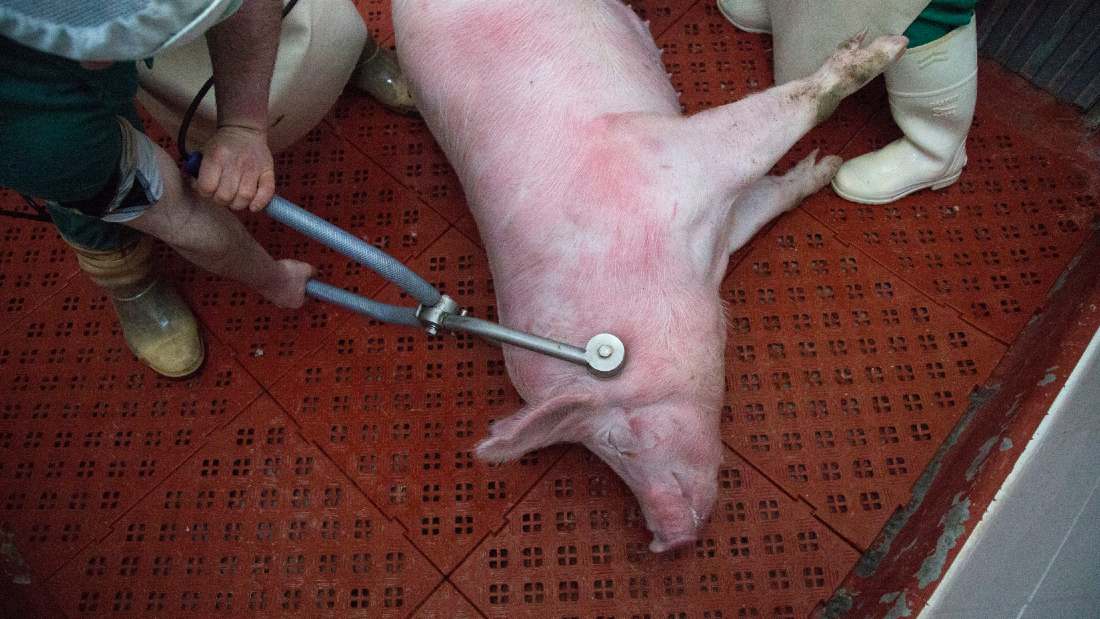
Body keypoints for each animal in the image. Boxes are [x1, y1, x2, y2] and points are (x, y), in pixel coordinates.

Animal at [392, 1, 905, 551]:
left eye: (617, 438)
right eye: (598, 451)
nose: (667, 538)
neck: (689, 265)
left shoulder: (674, 158)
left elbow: (799, 108)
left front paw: (884, 50)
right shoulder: (714, 216)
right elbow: (767, 197)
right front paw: (823, 166)